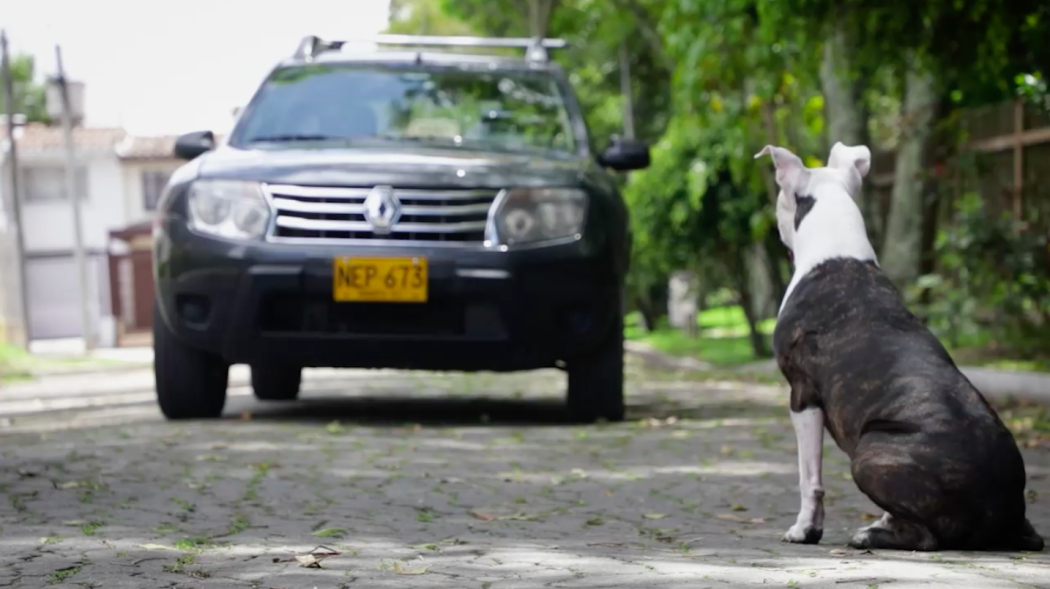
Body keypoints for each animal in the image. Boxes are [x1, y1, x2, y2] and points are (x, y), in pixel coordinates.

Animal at [755, 142, 1041, 550]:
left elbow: (809, 477)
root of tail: (1005, 516)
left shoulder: (802, 395)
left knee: (926, 537)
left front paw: (805, 529)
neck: (837, 252)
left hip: (869, 452)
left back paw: (870, 534)